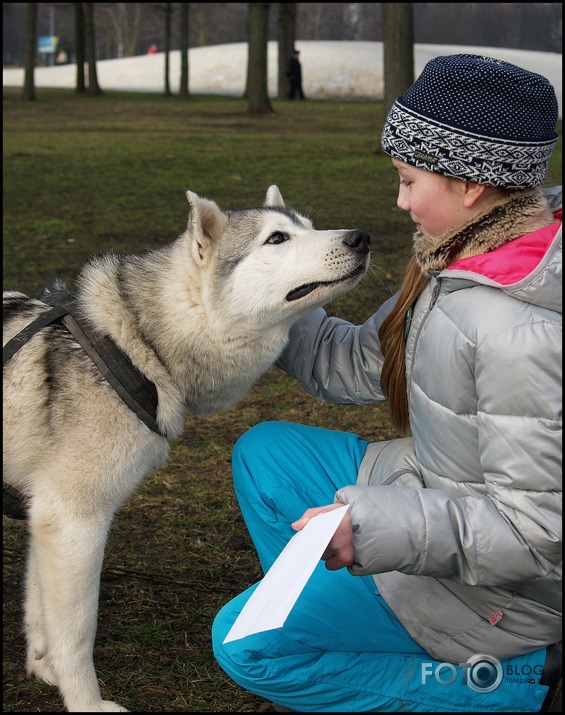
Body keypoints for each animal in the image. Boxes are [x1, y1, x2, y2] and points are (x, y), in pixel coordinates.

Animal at [3, 187, 370, 712]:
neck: (137, 340)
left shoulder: (45, 513)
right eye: (277, 239)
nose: (361, 238)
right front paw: (87, 704)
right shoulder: (74, 517)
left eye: (309, 225)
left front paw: (42, 668)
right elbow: (76, 632)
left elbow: (39, 609)